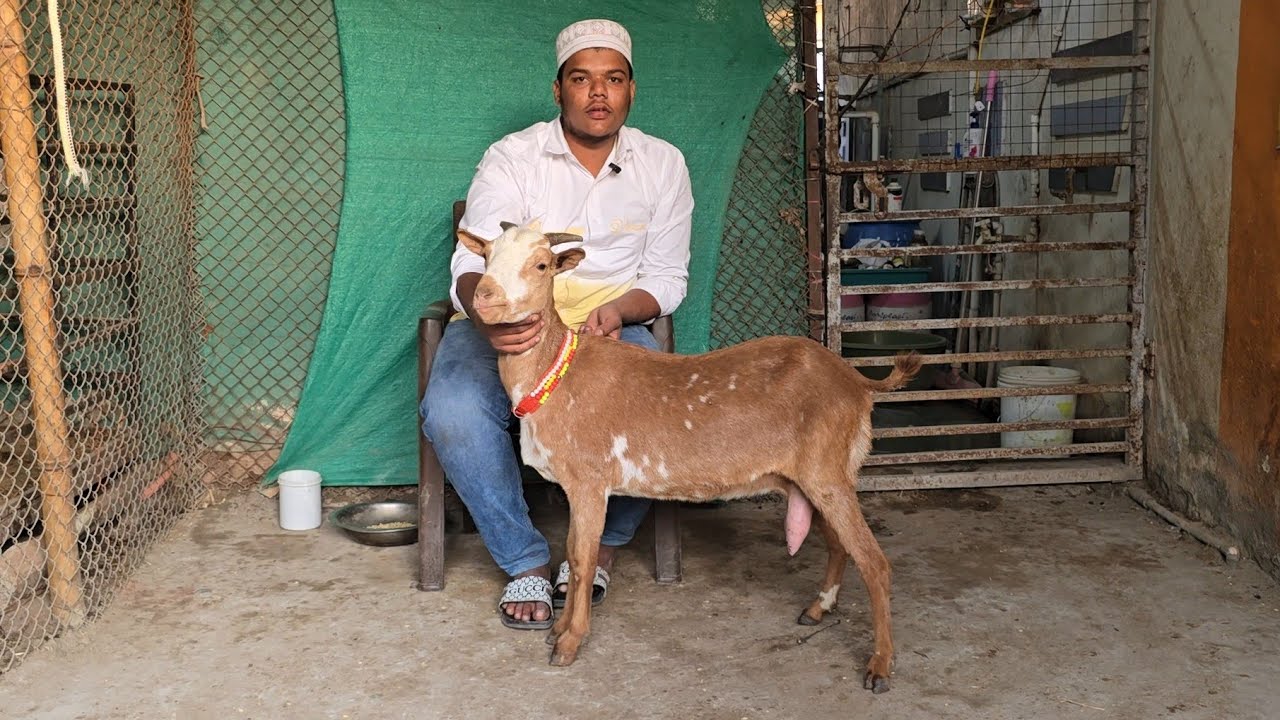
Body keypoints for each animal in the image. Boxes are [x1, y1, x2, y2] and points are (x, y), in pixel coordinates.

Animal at [458, 224, 920, 693]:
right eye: (486, 256)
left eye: (541, 265)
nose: (485, 296)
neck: (555, 371)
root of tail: (857, 382)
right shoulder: (577, 486)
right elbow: (570, 552)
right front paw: (558, 629)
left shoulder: (590, 479)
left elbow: (583, 560)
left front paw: (569, 642)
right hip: (812, 476)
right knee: (838, 544)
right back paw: (818, 608)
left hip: (828, 469)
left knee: (875, 562)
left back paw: (880, 665)